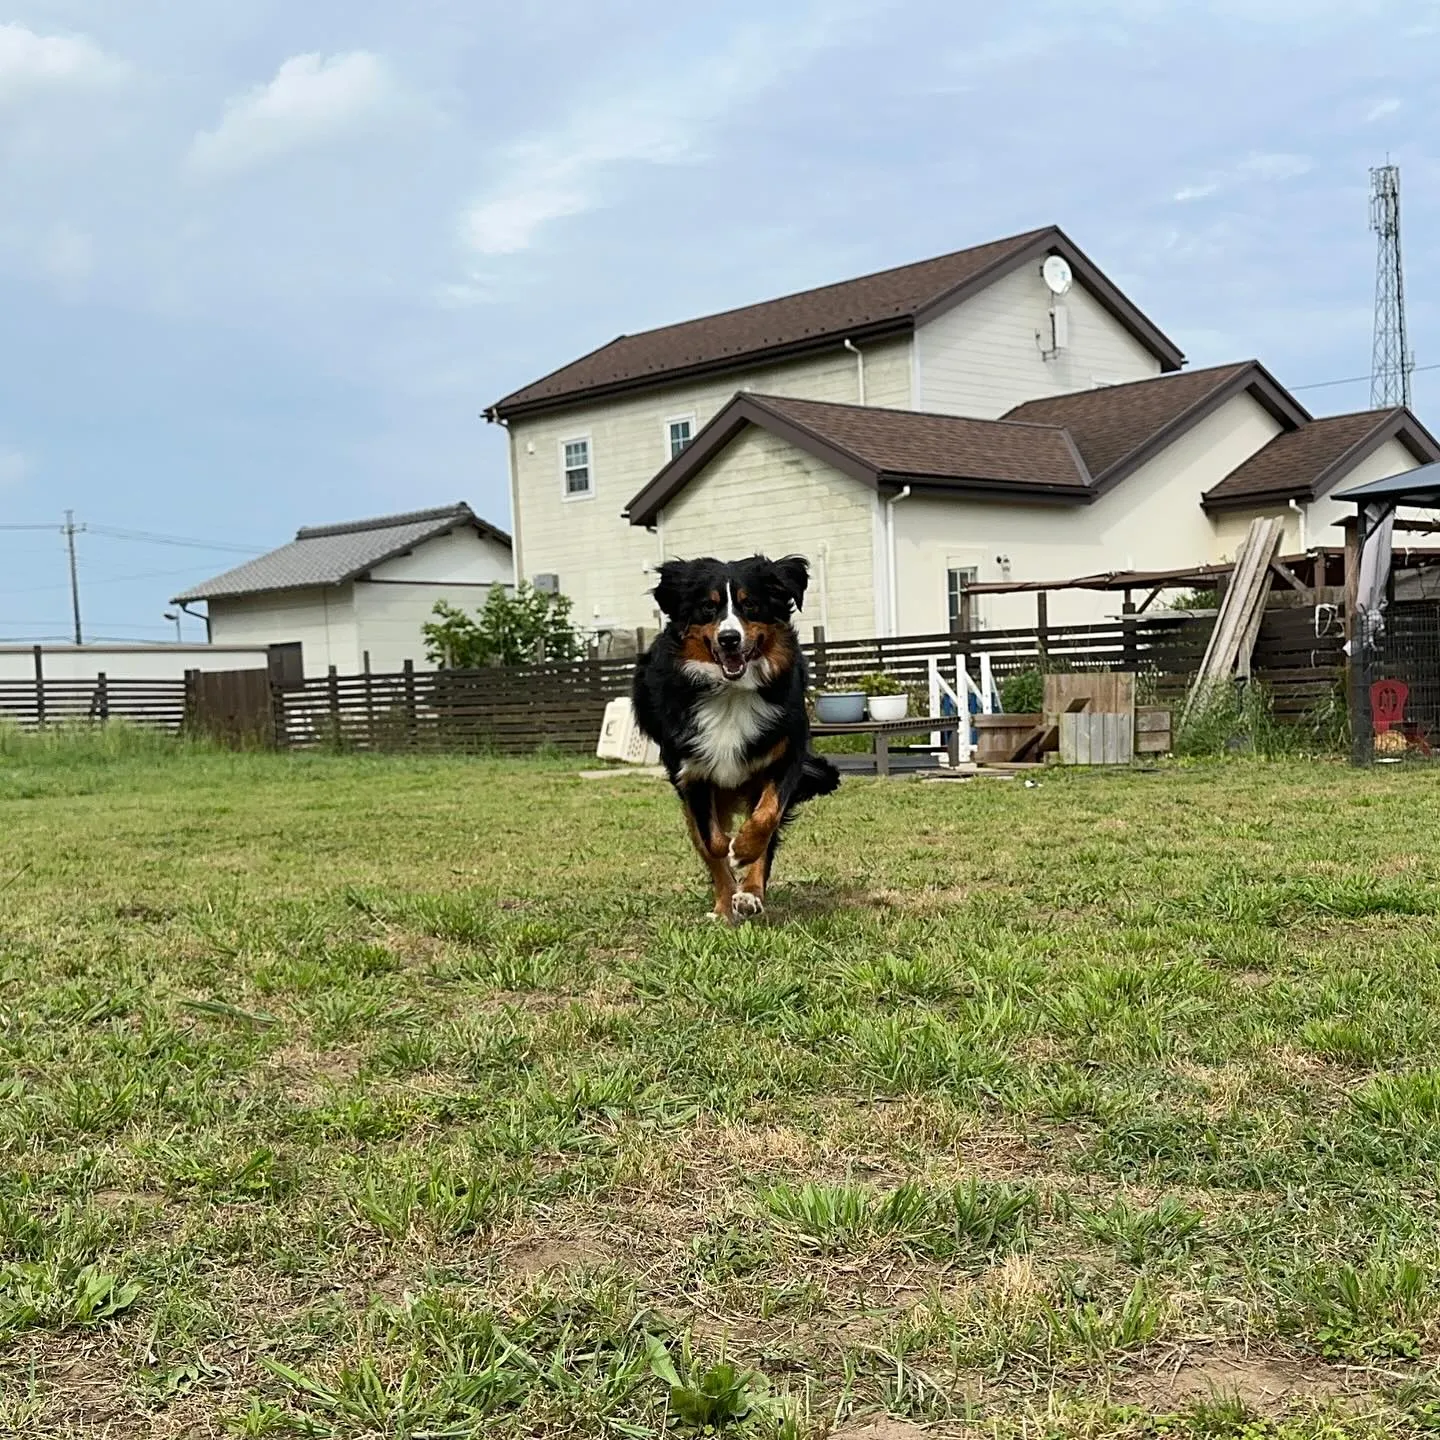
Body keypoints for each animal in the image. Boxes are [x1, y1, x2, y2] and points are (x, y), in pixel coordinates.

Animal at [633, 550, 840, 921]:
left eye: (751, 605)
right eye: (708, 607)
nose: (729, 638)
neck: (731, 692)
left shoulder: (786, 754)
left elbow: (766, 818)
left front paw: (743, 851)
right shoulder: (692, 772)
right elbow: (712, 841)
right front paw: (728, 869)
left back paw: (749, 893)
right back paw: (726, 902)